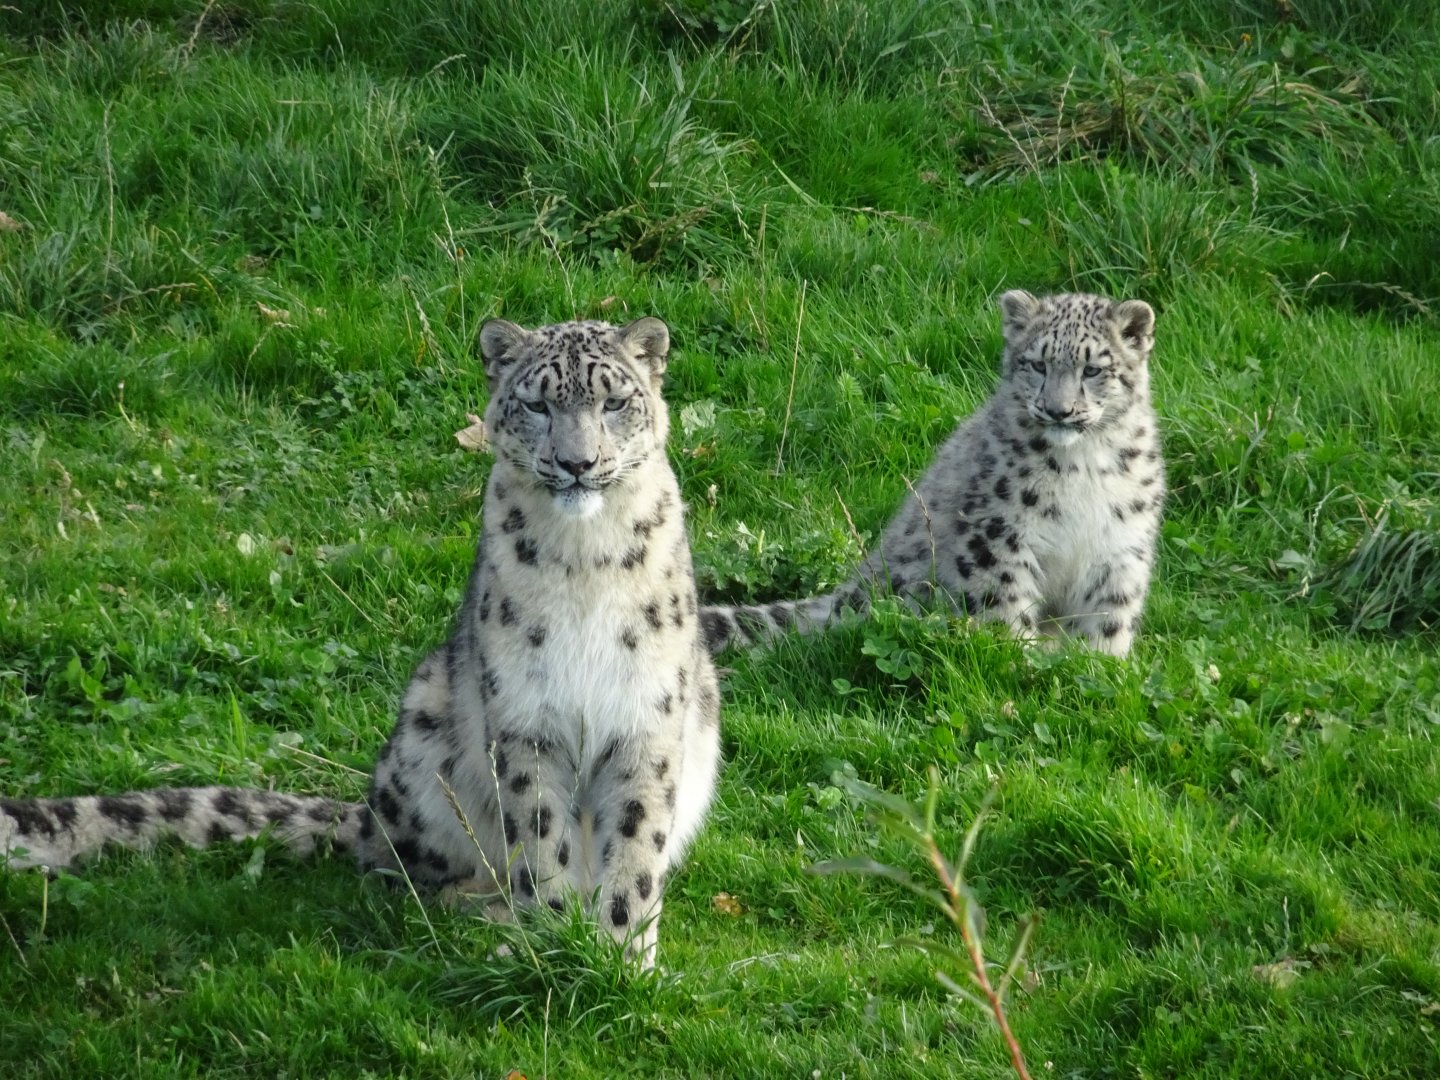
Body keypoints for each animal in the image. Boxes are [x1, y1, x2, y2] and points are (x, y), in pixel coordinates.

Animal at [1, 316, 721, 969]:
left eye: (614, 402)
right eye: (538, 403)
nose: (577, 463)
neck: (584, 558)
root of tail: (370, 812)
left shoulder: (646, 717)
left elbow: (635, 845)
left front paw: (622, 957)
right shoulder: (528, 721)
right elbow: (543, 839)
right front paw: (552, 938)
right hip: (426, 728)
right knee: (403, 871)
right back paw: (478, 914)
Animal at [700, 290, 1165, 658]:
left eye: (1093, 369)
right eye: (1037, 364)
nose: (1058, 410)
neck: (1084, 463)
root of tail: (848, 591)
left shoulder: (1120, 546)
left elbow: (1110, 615)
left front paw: (1101, 666)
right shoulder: (999, 533)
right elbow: (1006, 603)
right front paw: (1019, 659)